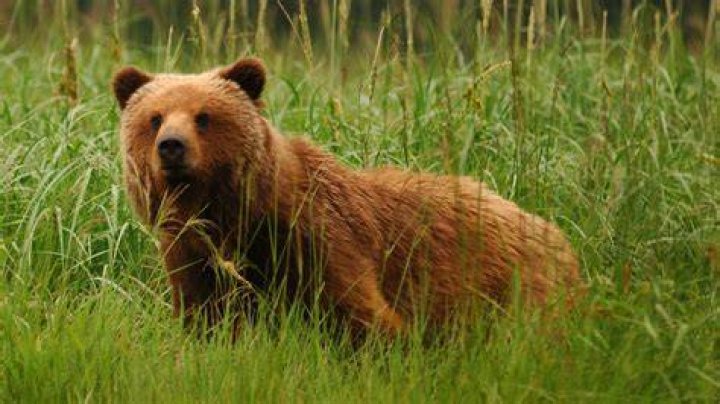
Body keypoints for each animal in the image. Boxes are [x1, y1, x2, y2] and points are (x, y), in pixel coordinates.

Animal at [112, 57, 580, 339]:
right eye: (154, 118)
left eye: (204, 117)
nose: (171, 147)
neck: (233, 217)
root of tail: (554, 231)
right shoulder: (191, 255)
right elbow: (204, 319)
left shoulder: (315, 238)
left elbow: (363, 316)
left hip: (514, 285)